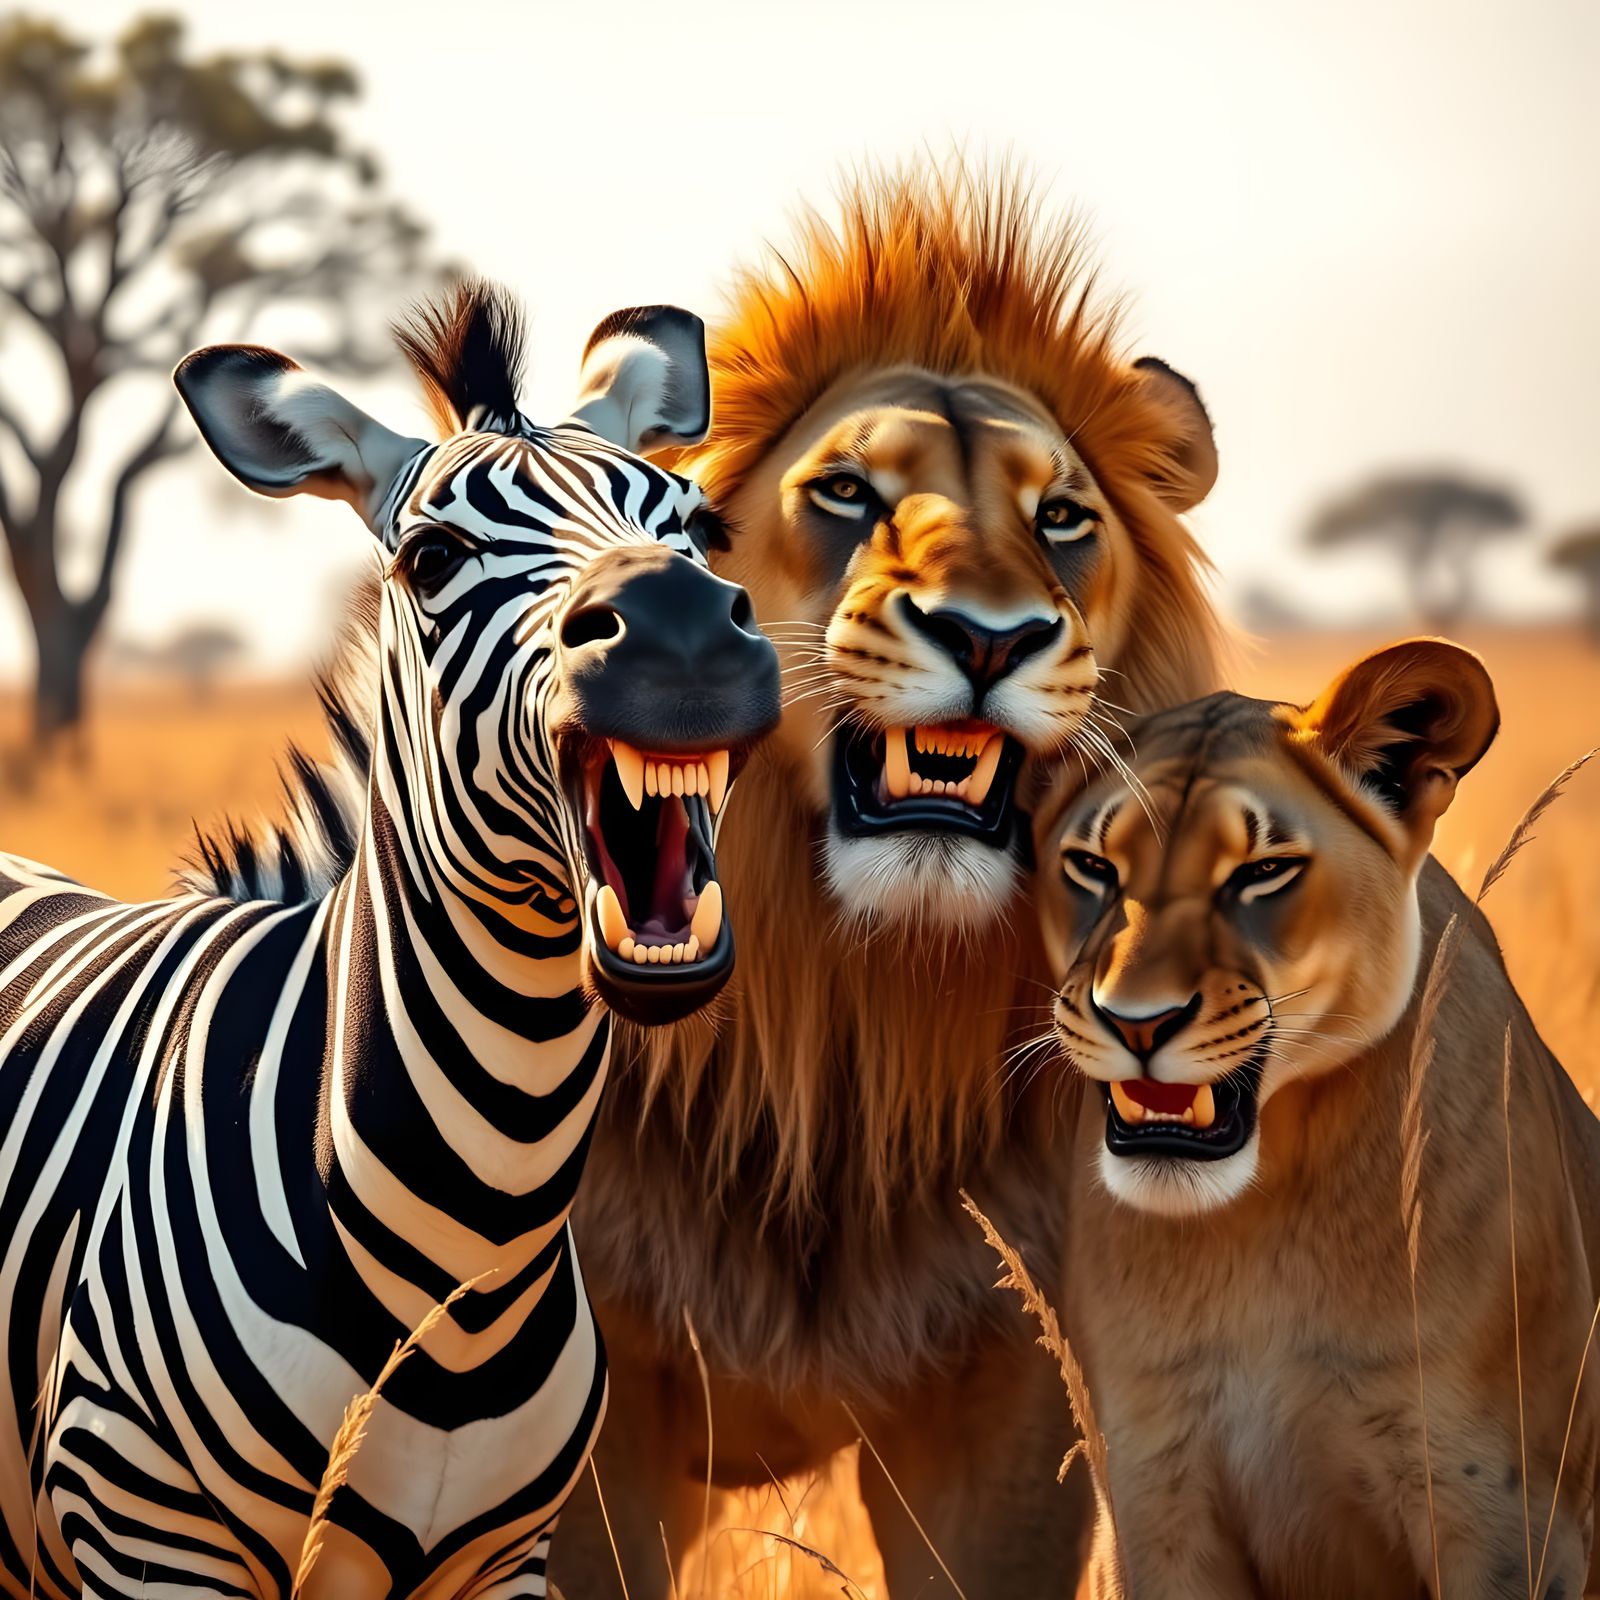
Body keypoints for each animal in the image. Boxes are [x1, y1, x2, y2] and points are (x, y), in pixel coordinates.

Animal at [0, 280, 780, 1600]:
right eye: (431, 558)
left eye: (698, 532)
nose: (681, 628)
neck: (470, 1244)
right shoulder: (149, 1539)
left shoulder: (504, 1561)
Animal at [554, 163, 1228, 1597]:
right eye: (848, 494)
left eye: (1061, 518)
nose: (988, 637)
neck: (844, 1029)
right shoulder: (587, 1406)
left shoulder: (1005, 1397)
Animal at [1032, 639, 1600, 1598]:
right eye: (1094, 868)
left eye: (1262, 872)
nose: (1136, 1022)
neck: (1257, 1216)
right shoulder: (1153, 1496)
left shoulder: (1505, 1514)